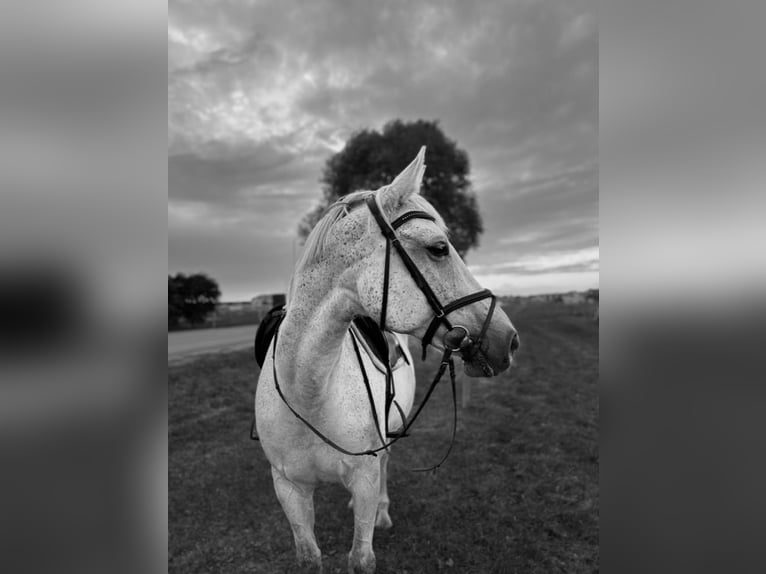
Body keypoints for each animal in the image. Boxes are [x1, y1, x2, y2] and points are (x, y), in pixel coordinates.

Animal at [254, 147, 519, 573]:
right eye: (438, 248)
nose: (508, 340)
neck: (308, 390)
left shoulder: (362, 475)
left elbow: (361, 558)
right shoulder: (289, 489)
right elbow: (309, 557)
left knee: (385, 465)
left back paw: (382, 511)